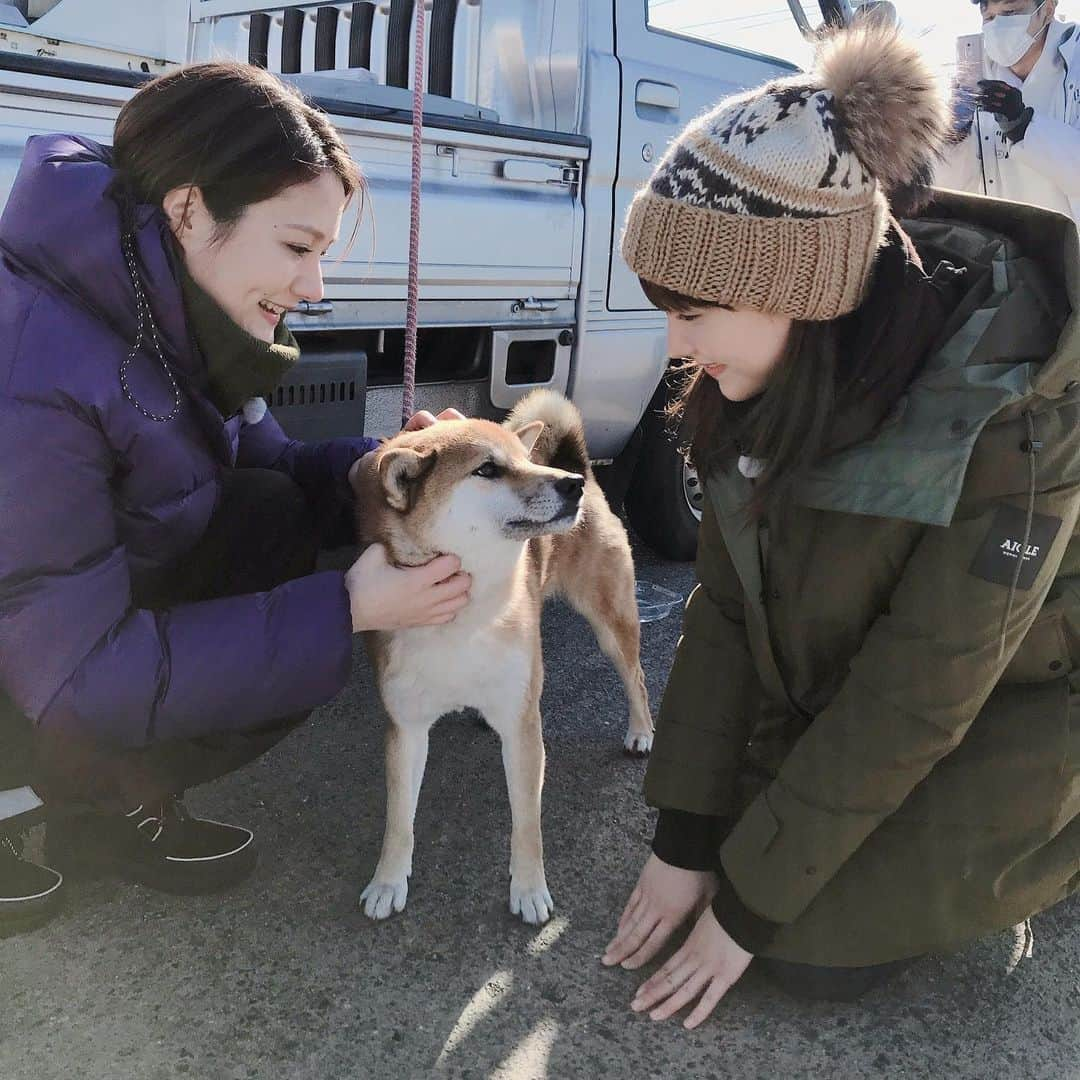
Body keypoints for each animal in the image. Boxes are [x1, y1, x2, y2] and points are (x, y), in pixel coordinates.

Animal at [349, 393, 652, 924]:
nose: (569, 485)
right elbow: (399, 820)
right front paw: (387, 881)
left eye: (525, 460)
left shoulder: (523, 723)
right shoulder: (406, 728)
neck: (465, 617)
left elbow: (527, 824)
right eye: (487, 469)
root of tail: (584, 467)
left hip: (610, 624)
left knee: (636, 676)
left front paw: (529, 890)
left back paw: (641, 732)